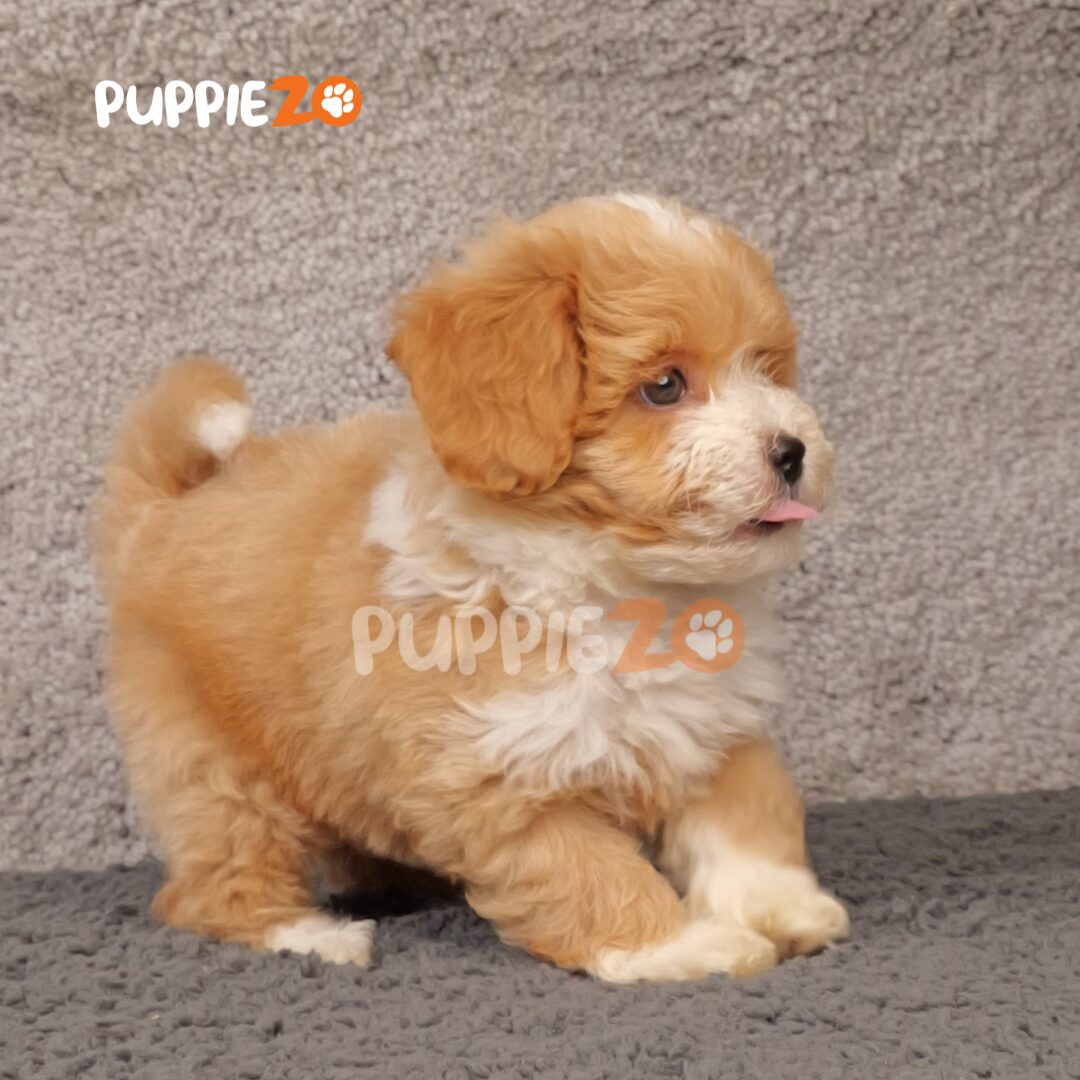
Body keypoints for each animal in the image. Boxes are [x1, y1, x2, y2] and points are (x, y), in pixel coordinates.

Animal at [95, 194, 848, 981]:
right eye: (664, 386)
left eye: (768, 369)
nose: (792, 451)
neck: (621, 585)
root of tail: (164, 508)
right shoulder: (498, 774)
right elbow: (591, 872)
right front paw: (681, 945)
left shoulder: (714, 723)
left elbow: (747, 818)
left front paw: (780, 909)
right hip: (211, 760)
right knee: (217, 877)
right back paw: (311, 935)